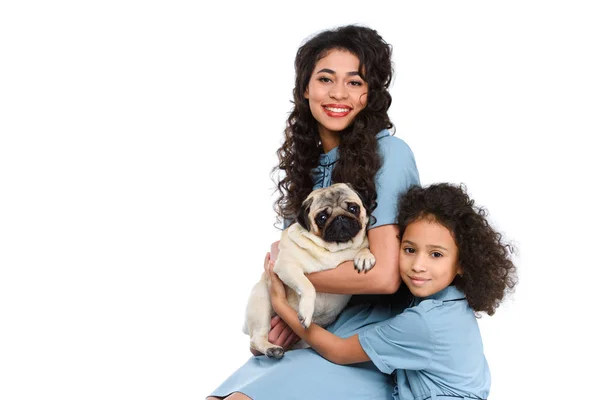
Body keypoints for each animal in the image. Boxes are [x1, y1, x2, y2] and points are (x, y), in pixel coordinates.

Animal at [240, 183, 376, 358]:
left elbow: (364, 247)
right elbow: (308, 286)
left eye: (353, 208)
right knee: (256, 339)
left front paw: (364, 256)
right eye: (322, 217)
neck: (335, 249)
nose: (340, 218)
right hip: (262, 300)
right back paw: (272, 349)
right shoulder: (286, 266)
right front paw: (306, 312)